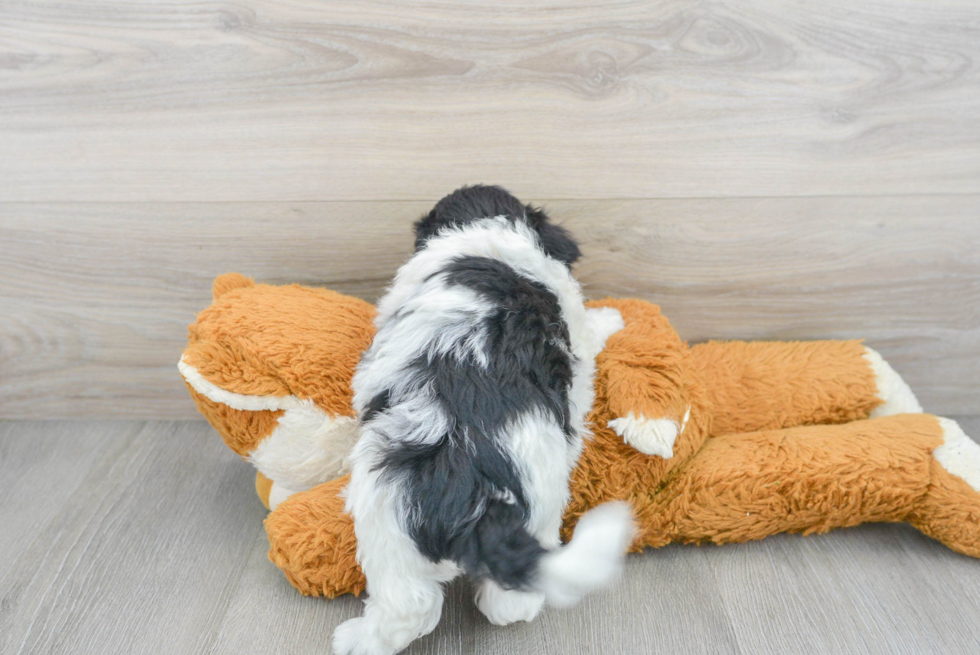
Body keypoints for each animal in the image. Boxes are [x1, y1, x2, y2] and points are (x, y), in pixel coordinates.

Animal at [334, 184, 632, 655]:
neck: (482, 230)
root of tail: (473, 480)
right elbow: (587, 331)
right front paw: (611, 318)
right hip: (539, 499)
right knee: (505, 598)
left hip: (387, 516)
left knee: (411, 604)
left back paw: (359, 639)